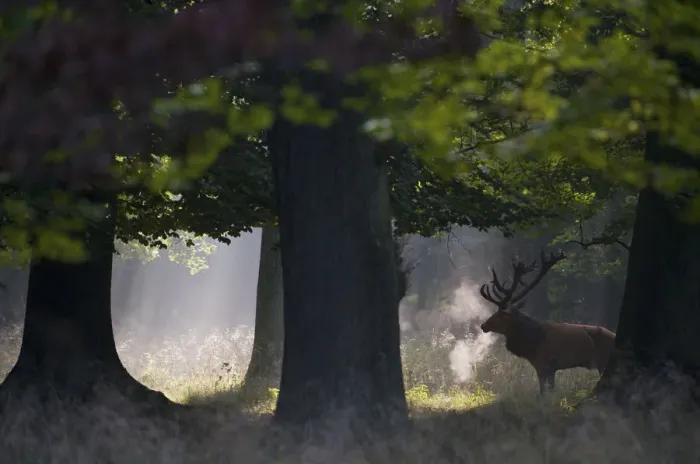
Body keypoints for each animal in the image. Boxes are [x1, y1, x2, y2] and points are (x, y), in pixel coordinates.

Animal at [479, 249, 616, 395]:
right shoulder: (546, 367)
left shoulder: (545, 364)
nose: (483, 325)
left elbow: (544, 392)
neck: (532, 343)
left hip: (604, 361)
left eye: (500, 314)